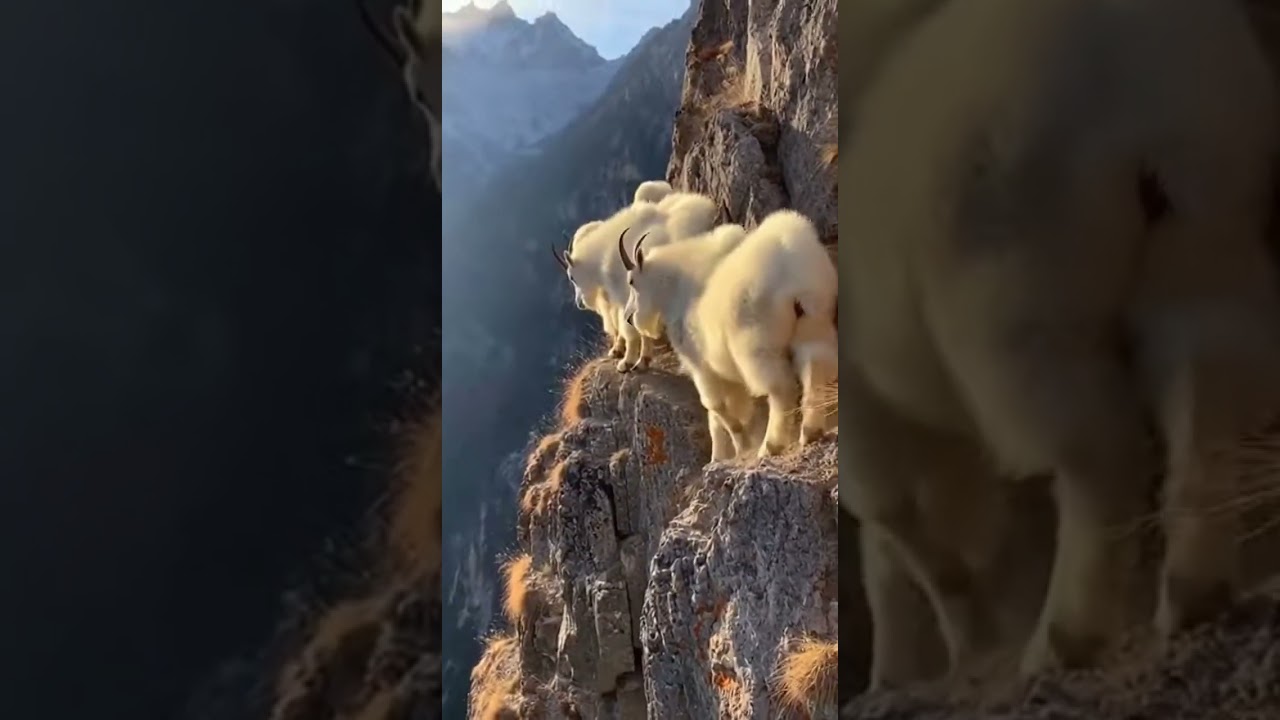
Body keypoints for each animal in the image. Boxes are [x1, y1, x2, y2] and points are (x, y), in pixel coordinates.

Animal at [622, 210, 838, 461]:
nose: (629, 318)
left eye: (632, 281)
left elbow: (715, 407)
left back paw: (770, 446)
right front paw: (721, 454)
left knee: (781, 389)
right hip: (814, 321)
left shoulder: (702, 368)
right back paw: (811, 432)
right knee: (815, 368)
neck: (679, 290)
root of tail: (793, 274)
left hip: (757, 348)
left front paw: (740, 445)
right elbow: (716, 419)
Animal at [838, 0, 1280, 686]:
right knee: (1207, 389)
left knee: (1102, 459)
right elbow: (895, 557)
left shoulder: (870, 417)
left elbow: (910, 545)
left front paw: (944, 655)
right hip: (1205, 224)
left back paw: (1064, 640)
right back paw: (1193, 592)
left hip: (1019, 292)